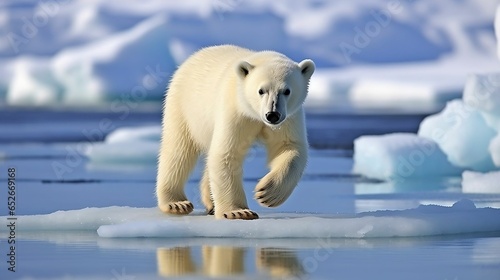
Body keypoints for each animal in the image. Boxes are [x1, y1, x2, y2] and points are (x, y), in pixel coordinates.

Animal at [156, 44, 314, 220]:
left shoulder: (289, 118)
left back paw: (210, 202)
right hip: (183, 107)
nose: (272, 114)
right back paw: (176, 203)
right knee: (178, 151)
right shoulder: (235, 110)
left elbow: (288, 147)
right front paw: (238, 212)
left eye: (287, 91)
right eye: (261, 90)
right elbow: (227, 153)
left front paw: (267, 193)